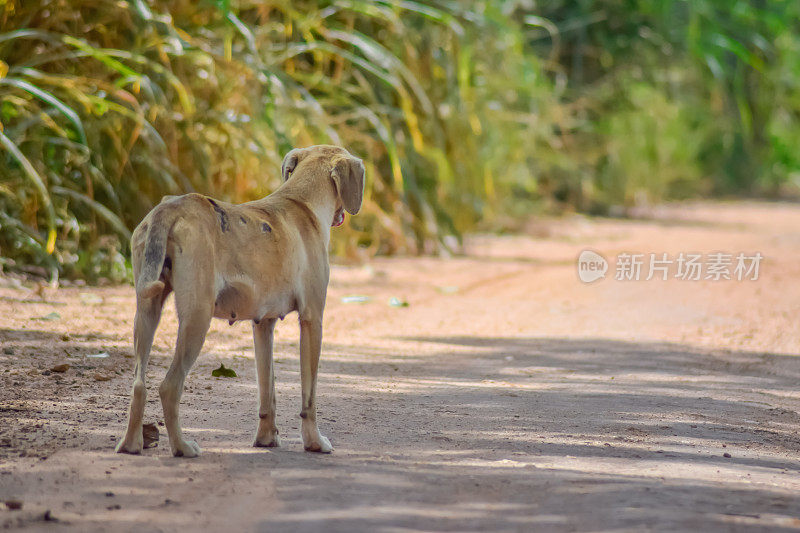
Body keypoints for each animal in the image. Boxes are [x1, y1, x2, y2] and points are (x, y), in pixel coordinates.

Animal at [115, 144, 366, 458]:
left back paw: (131, 444)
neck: (301, 201)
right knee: (169, 386)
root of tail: (169, 208)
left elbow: (267, 390)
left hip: (147, 311)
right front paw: (314, 442)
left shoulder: (263, 324)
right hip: (197, 317)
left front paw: (266, 438)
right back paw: (182, 447)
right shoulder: (312, 320)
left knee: (139, 384)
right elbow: (309, 397)